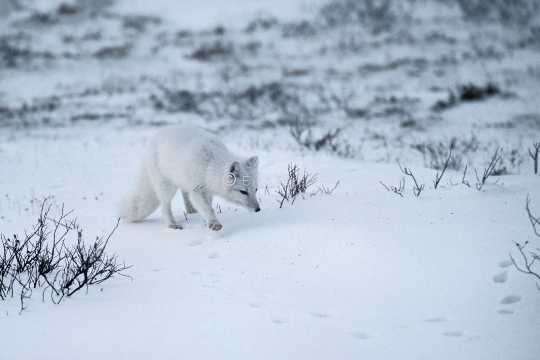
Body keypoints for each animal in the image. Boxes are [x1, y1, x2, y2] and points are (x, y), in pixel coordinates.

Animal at [118, 124, 262, 231]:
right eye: (243, 192)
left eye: (255, 190)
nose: (258, 209)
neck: (209, 165)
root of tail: (157, 134)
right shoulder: (197, 190)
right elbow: (206, 207)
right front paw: (213, 223)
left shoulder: (207, 190)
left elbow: (207, 206)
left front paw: (206, 222)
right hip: (167, 187)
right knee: (165, 207)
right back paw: (172, 224)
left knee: (184, 193)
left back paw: (191, 210)